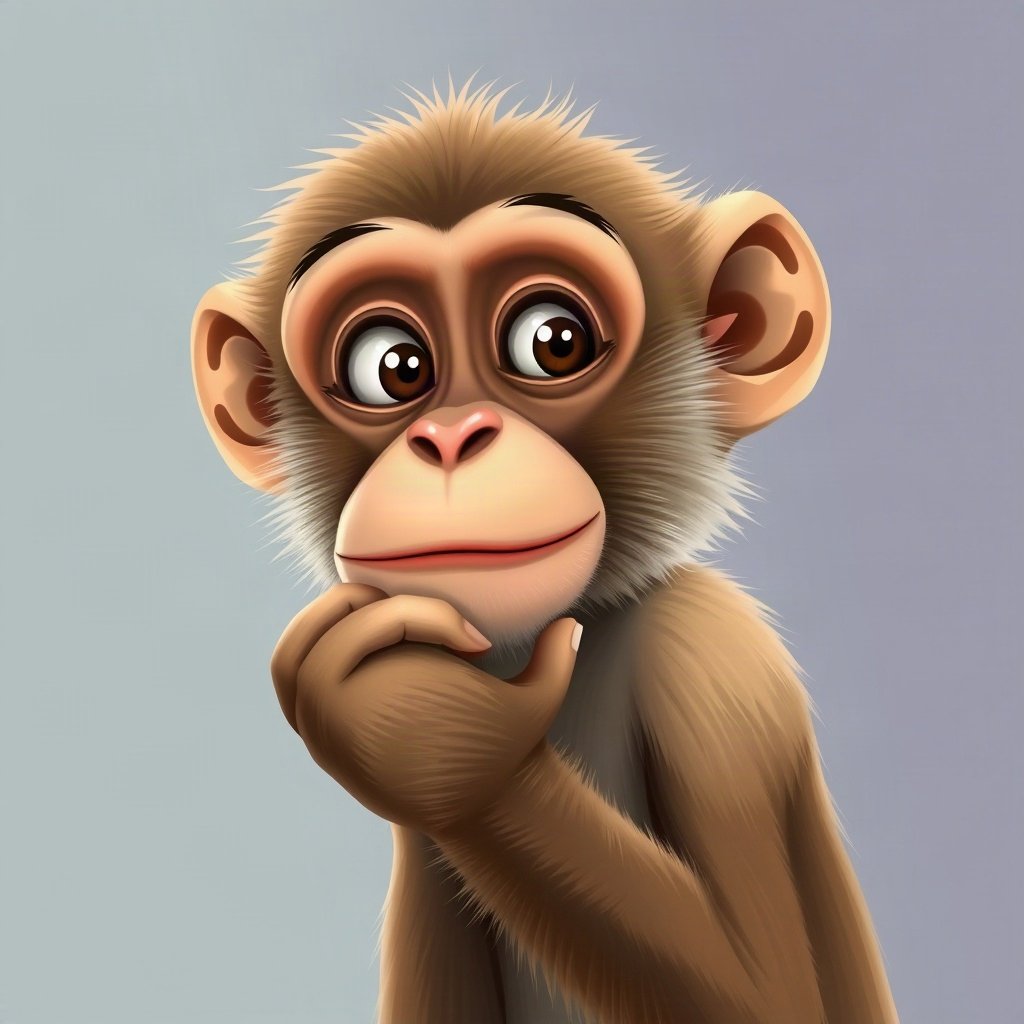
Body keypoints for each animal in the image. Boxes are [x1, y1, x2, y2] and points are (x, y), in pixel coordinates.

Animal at [191, 82, 899, 1024]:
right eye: (393, 365)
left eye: (554, 341)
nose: (452, 439)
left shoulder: (711, 668)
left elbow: (768, 986)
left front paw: (433, 737)